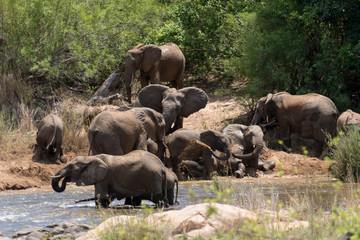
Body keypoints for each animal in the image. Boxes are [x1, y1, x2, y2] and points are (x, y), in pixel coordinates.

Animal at [51, 150, 179, 208]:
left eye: (71, 167)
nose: (66, 178)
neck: (90, 157)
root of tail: (161, 167)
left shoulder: (104, 178)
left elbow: (101, 198)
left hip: (151, 178)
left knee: (157, 198)